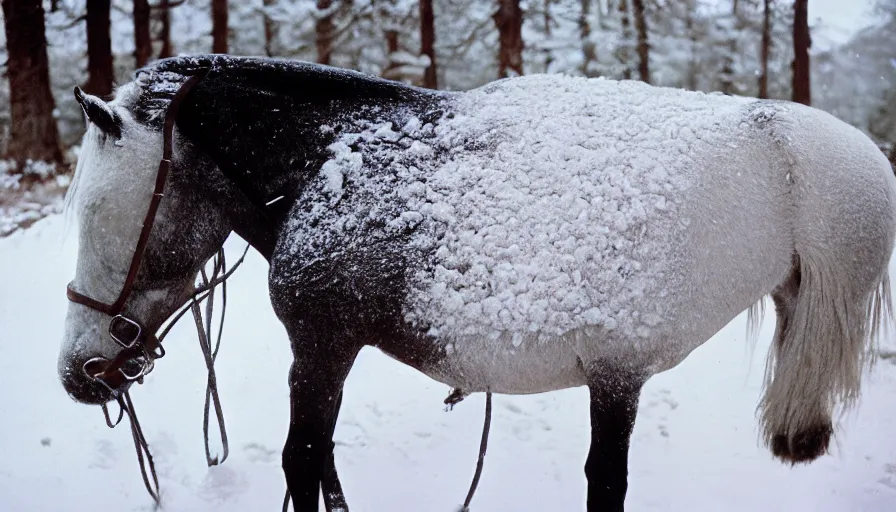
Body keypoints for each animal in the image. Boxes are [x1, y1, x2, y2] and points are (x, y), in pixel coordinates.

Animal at [59, 54, 896, 510]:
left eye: (99, 211)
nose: (79, 372)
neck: (331, 165)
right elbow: (320, 464)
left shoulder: (322, 345)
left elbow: (304, 461)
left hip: (614, 382)